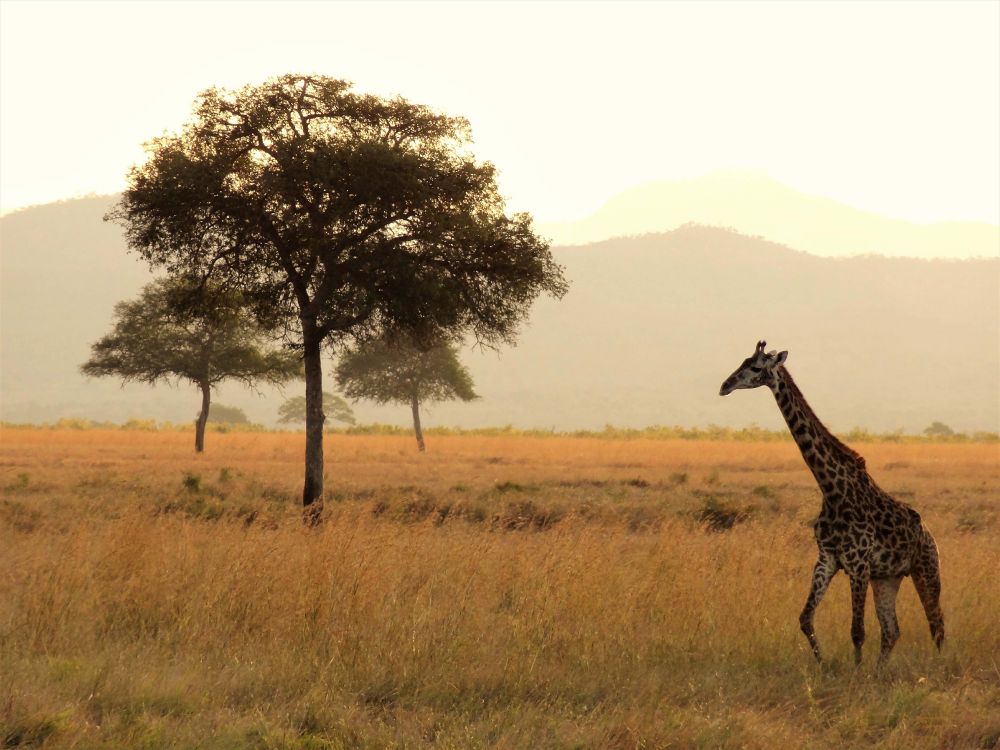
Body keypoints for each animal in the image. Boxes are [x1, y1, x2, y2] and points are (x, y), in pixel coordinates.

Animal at [719, 341, 944, 665]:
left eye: (756, 367)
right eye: (742, 361)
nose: (725, 386)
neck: (832, 490)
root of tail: (929, 533)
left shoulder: (858, 565)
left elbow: (857, 631)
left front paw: (856, 670)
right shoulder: (827, 559)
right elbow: (805, 619)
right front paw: (824, 665)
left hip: (926, 569)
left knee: (936, 624)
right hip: (887, 578)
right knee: (892, 630)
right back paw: (880, 670)